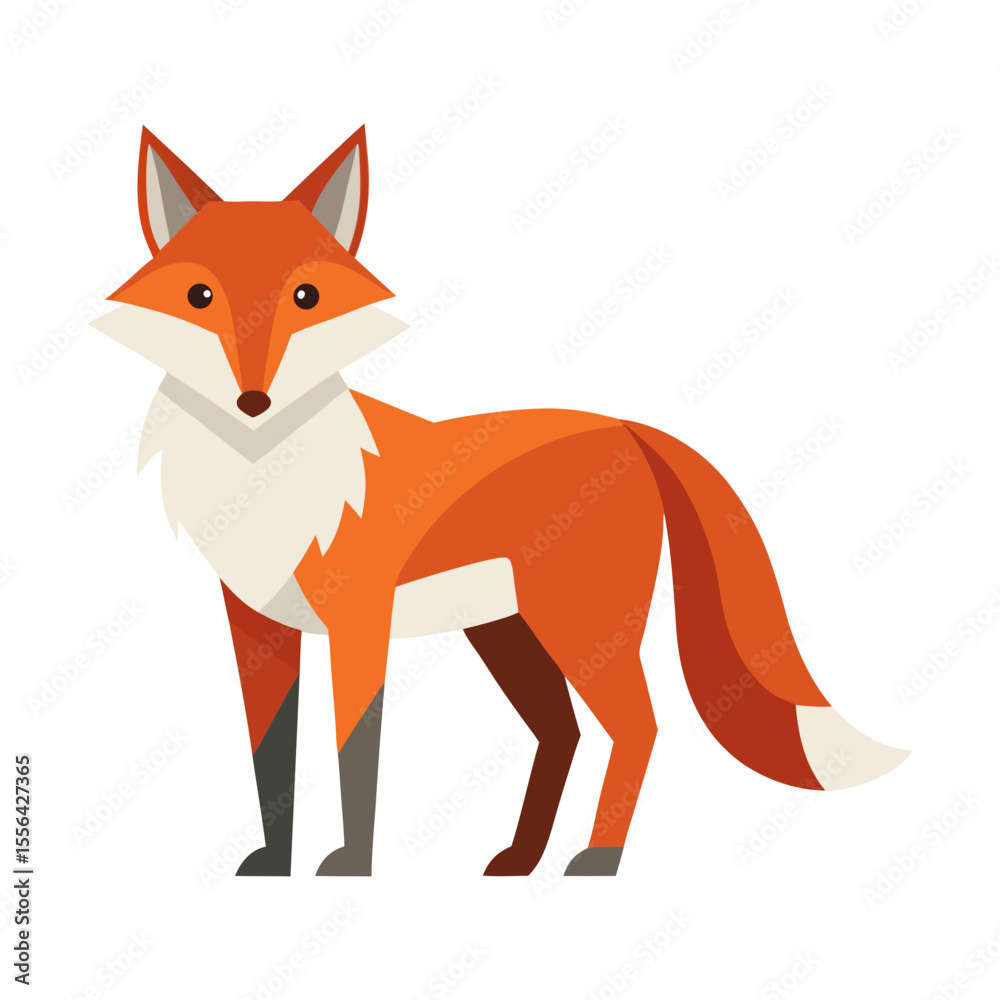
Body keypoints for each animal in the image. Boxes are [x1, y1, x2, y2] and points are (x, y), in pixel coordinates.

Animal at [93, 125, 908, 877]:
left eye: (306, 298)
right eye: (200, 297)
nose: (254, 401)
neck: (266, 480)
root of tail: (628, 428)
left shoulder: (360, 625)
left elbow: (357, 755)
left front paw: (351, 866)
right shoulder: (257, 626)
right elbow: (271, 757)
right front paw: (274, 865)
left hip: (579, 629)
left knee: (638, 727)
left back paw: (599, 858)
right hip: (511, 634)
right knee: (564, 733)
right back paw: (522, 858)